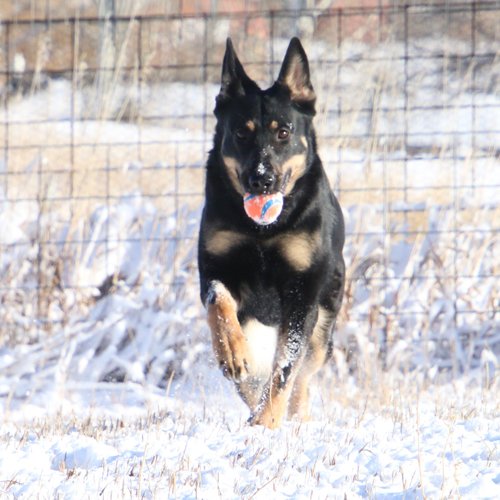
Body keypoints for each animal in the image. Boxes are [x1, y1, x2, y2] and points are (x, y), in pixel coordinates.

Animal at [198, 37, 345, 429]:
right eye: (240, 133)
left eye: (283, 132)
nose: (261, 179)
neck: (262, 231)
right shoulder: (216, 269)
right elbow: (218, 301)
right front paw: (233, 355)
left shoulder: (302, 292)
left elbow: (287, 366)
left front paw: (268, 421)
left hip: (325, 320)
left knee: (305, 372)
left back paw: (295, 416)